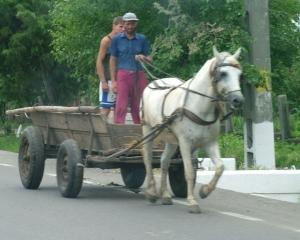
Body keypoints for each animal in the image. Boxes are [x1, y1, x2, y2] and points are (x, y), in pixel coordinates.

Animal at [141, 47, 244, 214]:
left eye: (240, 75)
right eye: (223, 73)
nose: (238, 100)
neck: (198, 106)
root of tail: (153, 83)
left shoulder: (210, 142)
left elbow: (220, 167)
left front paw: (205, 191)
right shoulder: (185, 142)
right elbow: (189, 171)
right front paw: (192, 202)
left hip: (171, 140)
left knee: (164, 161)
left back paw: (165, 195)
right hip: (148, 130)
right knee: (148, 159)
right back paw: (151, 192)